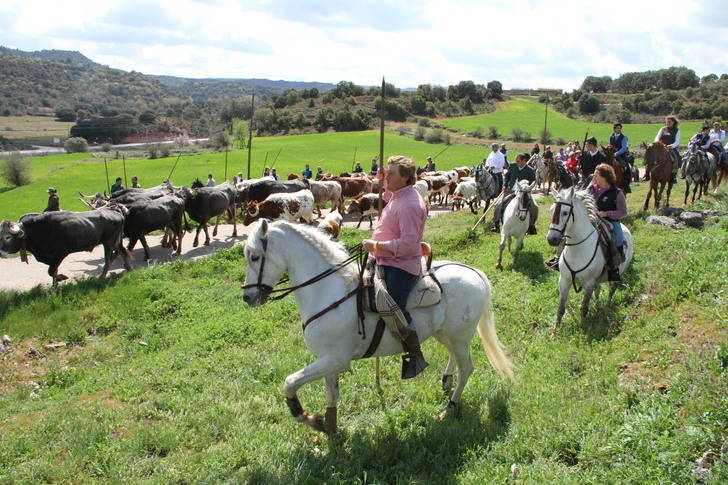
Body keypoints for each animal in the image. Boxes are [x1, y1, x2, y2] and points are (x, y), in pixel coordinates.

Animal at [0, 204, 133, 284]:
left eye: (8, 237)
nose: (1, 253)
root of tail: (115, 210)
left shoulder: (60, 254)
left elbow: (51, 271)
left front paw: (62, 278)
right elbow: (53, 271)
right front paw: (54, 287)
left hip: (108, 242)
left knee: (108, 259)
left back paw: (102, 277)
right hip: (114, 241)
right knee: (121, 251)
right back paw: (129, 268)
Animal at [242, 219, 516, 434]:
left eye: (255, 256)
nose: (247, 297)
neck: (329, 291)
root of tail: (473, 271)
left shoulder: (336, 360)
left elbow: (290, 382)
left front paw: (307, 417)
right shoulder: (328, 360)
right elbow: (331, 395)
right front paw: (327, 426)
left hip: (459, 335)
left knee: (467, 367)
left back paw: (451, 406)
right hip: (444, 333)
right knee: (455, 359)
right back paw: (446, 380)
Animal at [544, 187, 632, 328]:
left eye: (565, 212)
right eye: (551, 210)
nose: (551, 239)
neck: (577, 250)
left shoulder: (589, 282)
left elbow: (584, 307)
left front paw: (584, 325)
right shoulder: (564, 280)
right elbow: (561, 308)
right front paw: (556, 328)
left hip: (618, 273)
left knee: (611, 289)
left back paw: (607, 305)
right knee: (598, 290)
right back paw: (598, 305)